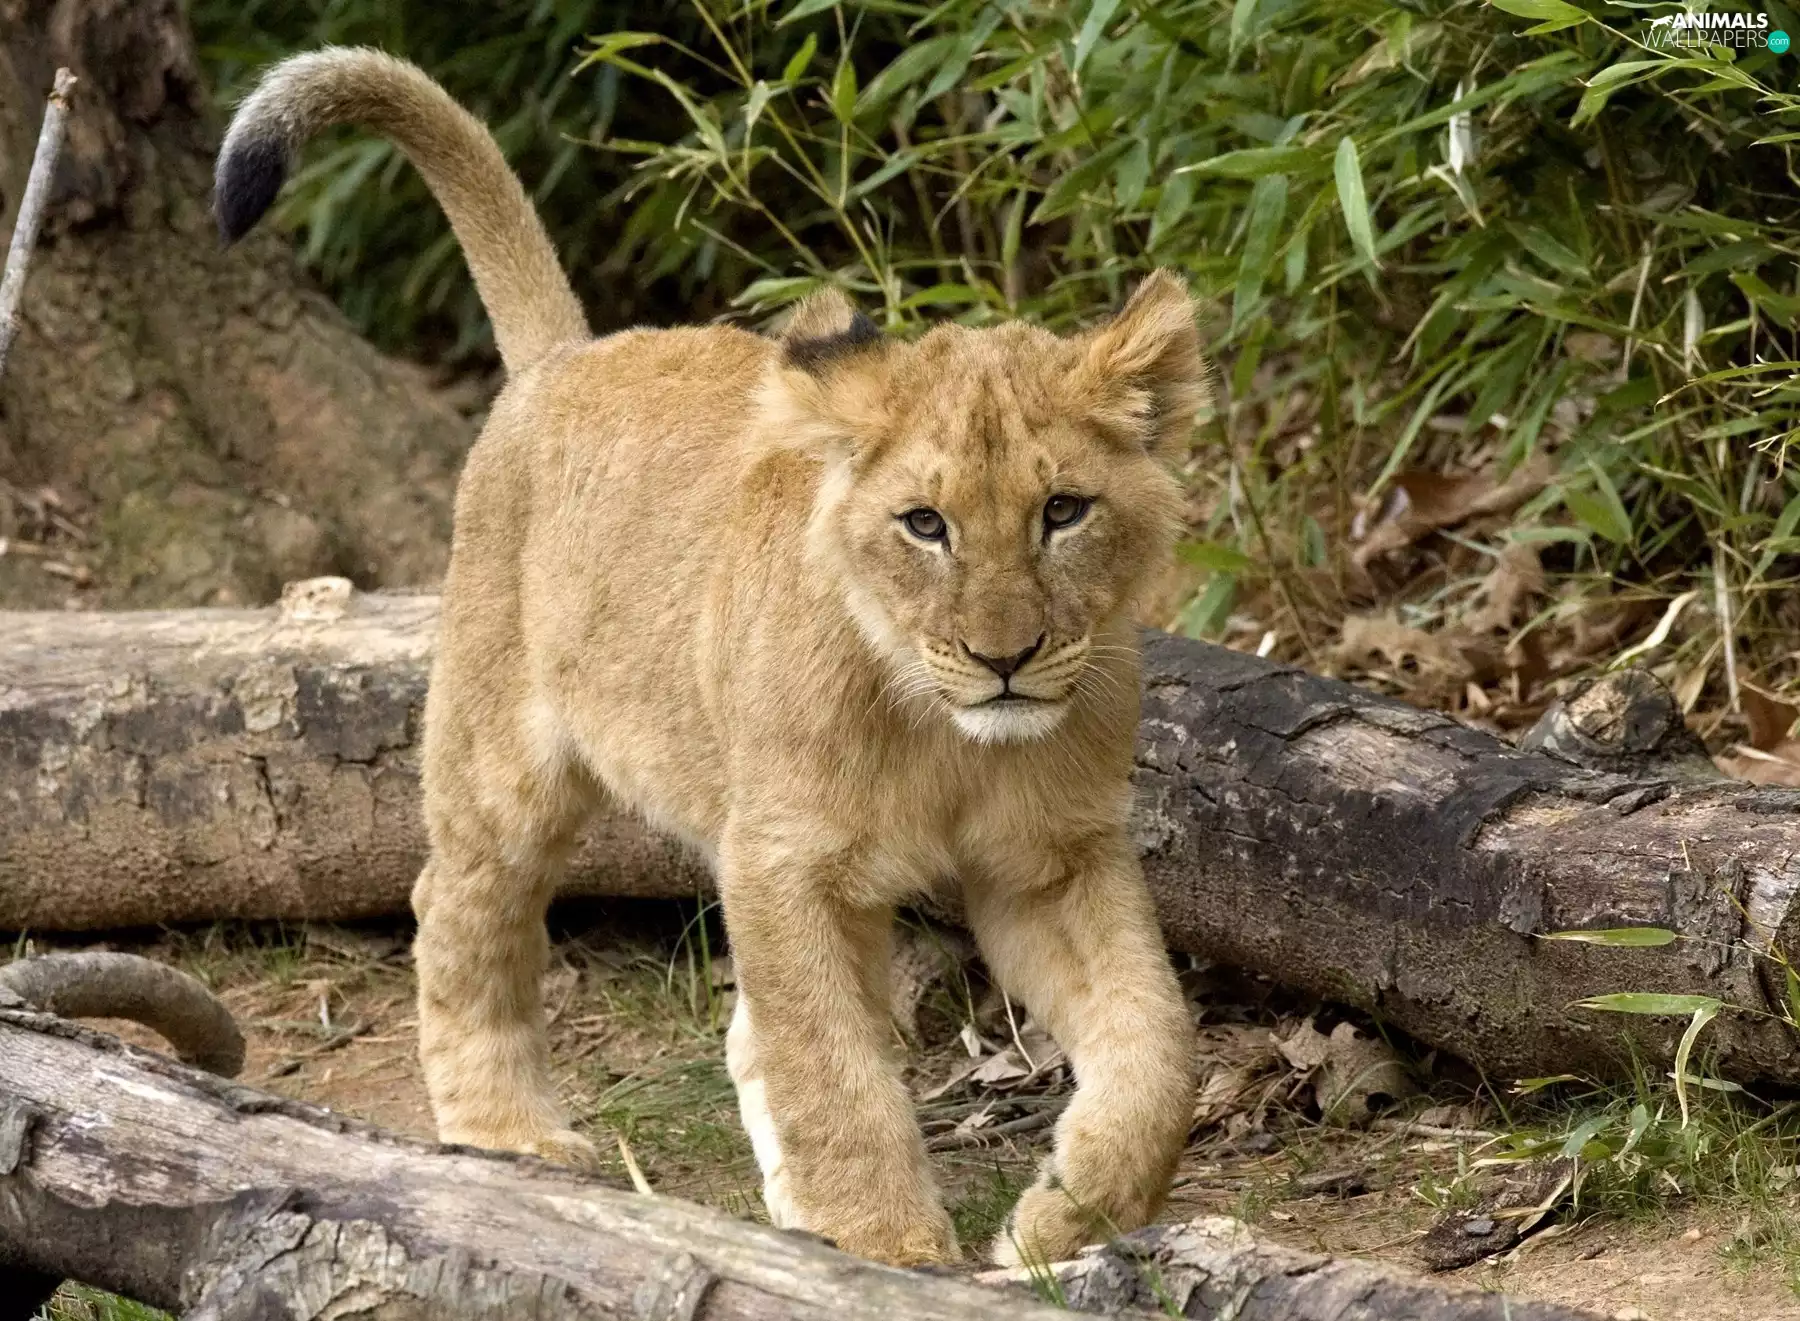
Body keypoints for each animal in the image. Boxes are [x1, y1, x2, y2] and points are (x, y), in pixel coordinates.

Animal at [216, 47, 1204, 1268]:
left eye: (1063, 510)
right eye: (925, 524)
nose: (1005, 656)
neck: (946, 735)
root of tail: (565, 358)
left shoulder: (1049, 858)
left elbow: (1158, 1039)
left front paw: (1069, 1216)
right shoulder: (784, 856)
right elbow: (830, 1066)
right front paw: (885, 1249)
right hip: (505, 766)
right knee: (457, 907)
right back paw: (505, 1133)